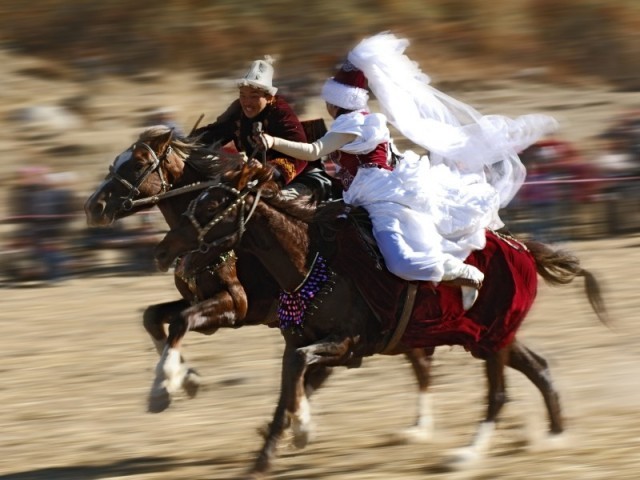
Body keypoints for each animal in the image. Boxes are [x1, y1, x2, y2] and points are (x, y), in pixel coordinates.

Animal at [82, 125, 438, 436]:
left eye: (139, 163)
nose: (92, 207)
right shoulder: (197, 299)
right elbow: (153, 318)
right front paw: (180, 380)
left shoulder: (236, 305)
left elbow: (181, 322)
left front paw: (168, 384)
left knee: (420, 362)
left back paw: (420, 428)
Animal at [152, 158, 608, 476]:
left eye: (213, 203)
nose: (163, 250)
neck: (311, 263)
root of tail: (525, 248)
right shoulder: (296, 340)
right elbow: (287, 390)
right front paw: (265, 455)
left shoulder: (348, 344)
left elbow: (298, 376)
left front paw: (302, 430)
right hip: (492, 336)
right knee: (539, 367)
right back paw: (555, 436)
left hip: (491, 337)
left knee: (497, 394)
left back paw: (465, 454)